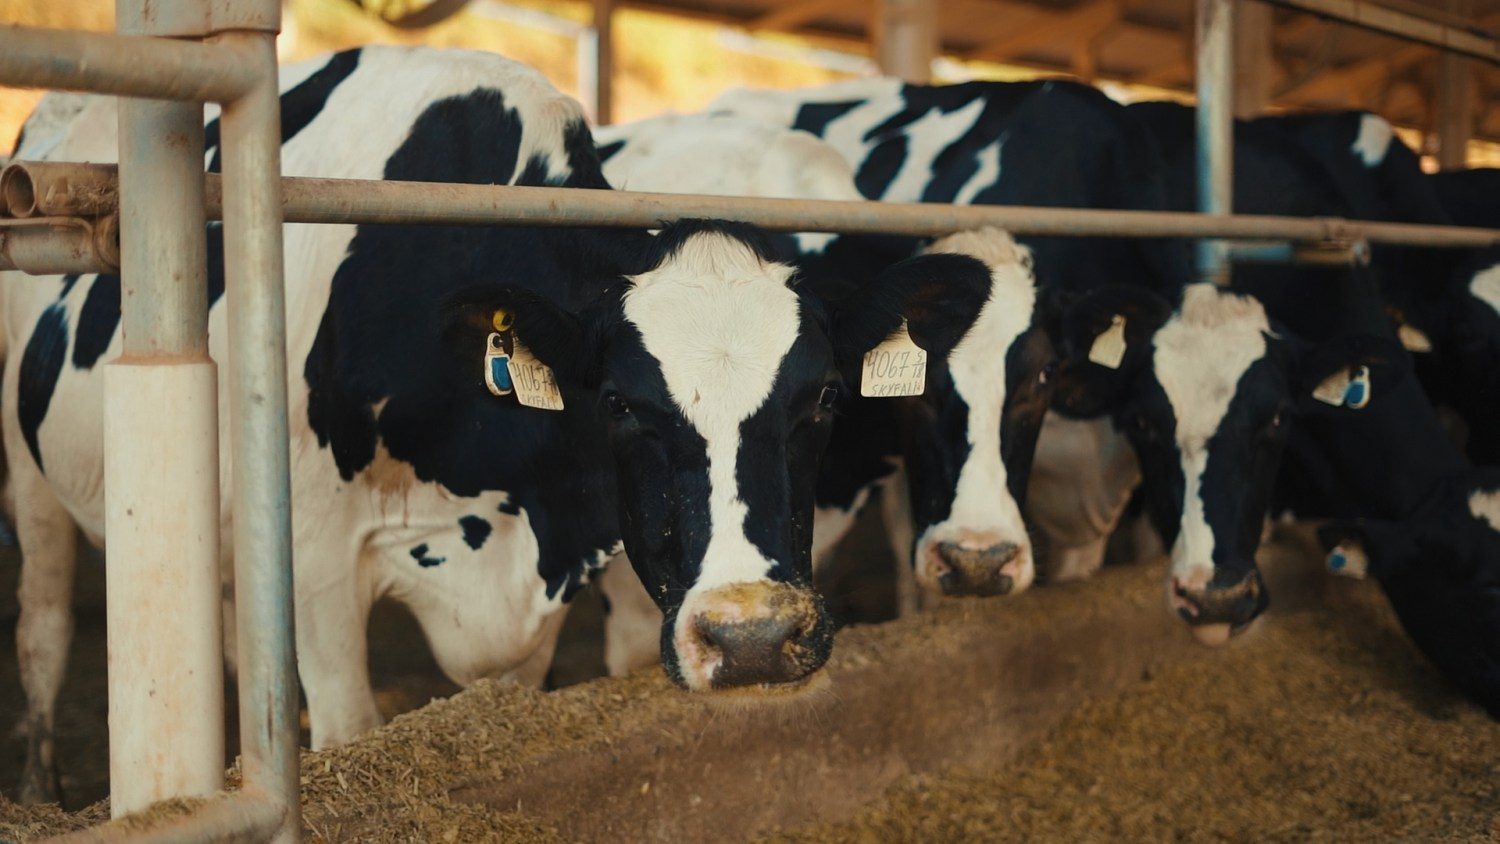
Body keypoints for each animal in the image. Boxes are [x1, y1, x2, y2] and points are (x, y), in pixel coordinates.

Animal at [2, 47, 984, 803]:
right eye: (619, 403)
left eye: (824, 398)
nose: (751, 640)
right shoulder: (317, 566)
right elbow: (345, 722)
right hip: (33, 477)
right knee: (44, 631)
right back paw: (41, 789)